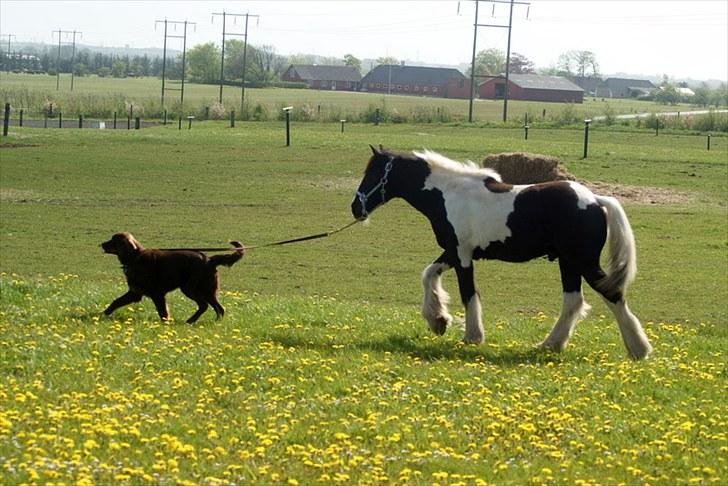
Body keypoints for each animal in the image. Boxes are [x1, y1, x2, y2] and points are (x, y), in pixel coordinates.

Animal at [101, 232, 246, 322]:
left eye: (113, 240)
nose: (101, 244)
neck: (135, 256)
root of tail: (209, 260)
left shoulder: (157, 294)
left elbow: (163, 312)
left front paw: (166, 324)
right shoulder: (135, 292)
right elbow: (116, 302)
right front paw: (102, 314)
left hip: (190, 288)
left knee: (204, 305)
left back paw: (190, 321)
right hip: (208, 290)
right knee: (219, 308)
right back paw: (213, 322)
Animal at [352, 146, 656, 358]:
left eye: (374, 173)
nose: (355, 208)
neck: (448, 193)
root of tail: (595, 200)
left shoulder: (463, 256)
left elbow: (468, 294)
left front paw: (472, 336)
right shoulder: (453, 252)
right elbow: (428, 274)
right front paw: (438, 319)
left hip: (583, 262)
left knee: (612, 294)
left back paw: (638, 349)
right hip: (569, 263)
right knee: (573, 301)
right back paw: (550, 344)